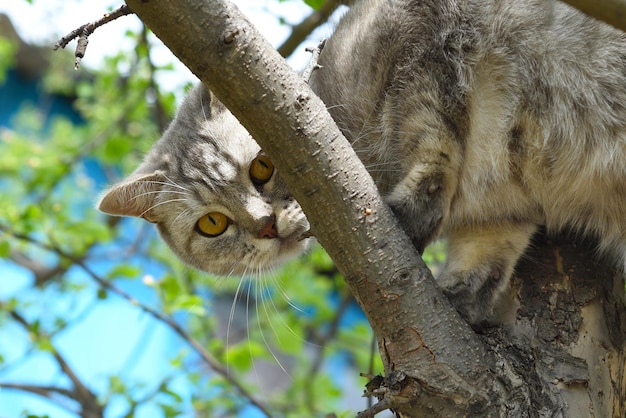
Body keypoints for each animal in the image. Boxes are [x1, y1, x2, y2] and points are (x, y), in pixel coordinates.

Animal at [96, 0, 624, 324]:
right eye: (212, 225)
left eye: (263, 168)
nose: (265, 225)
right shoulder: (504, 209)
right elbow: (489, 251)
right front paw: (462, 297)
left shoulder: (423, 40)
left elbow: (436, 143)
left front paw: (412, 212)